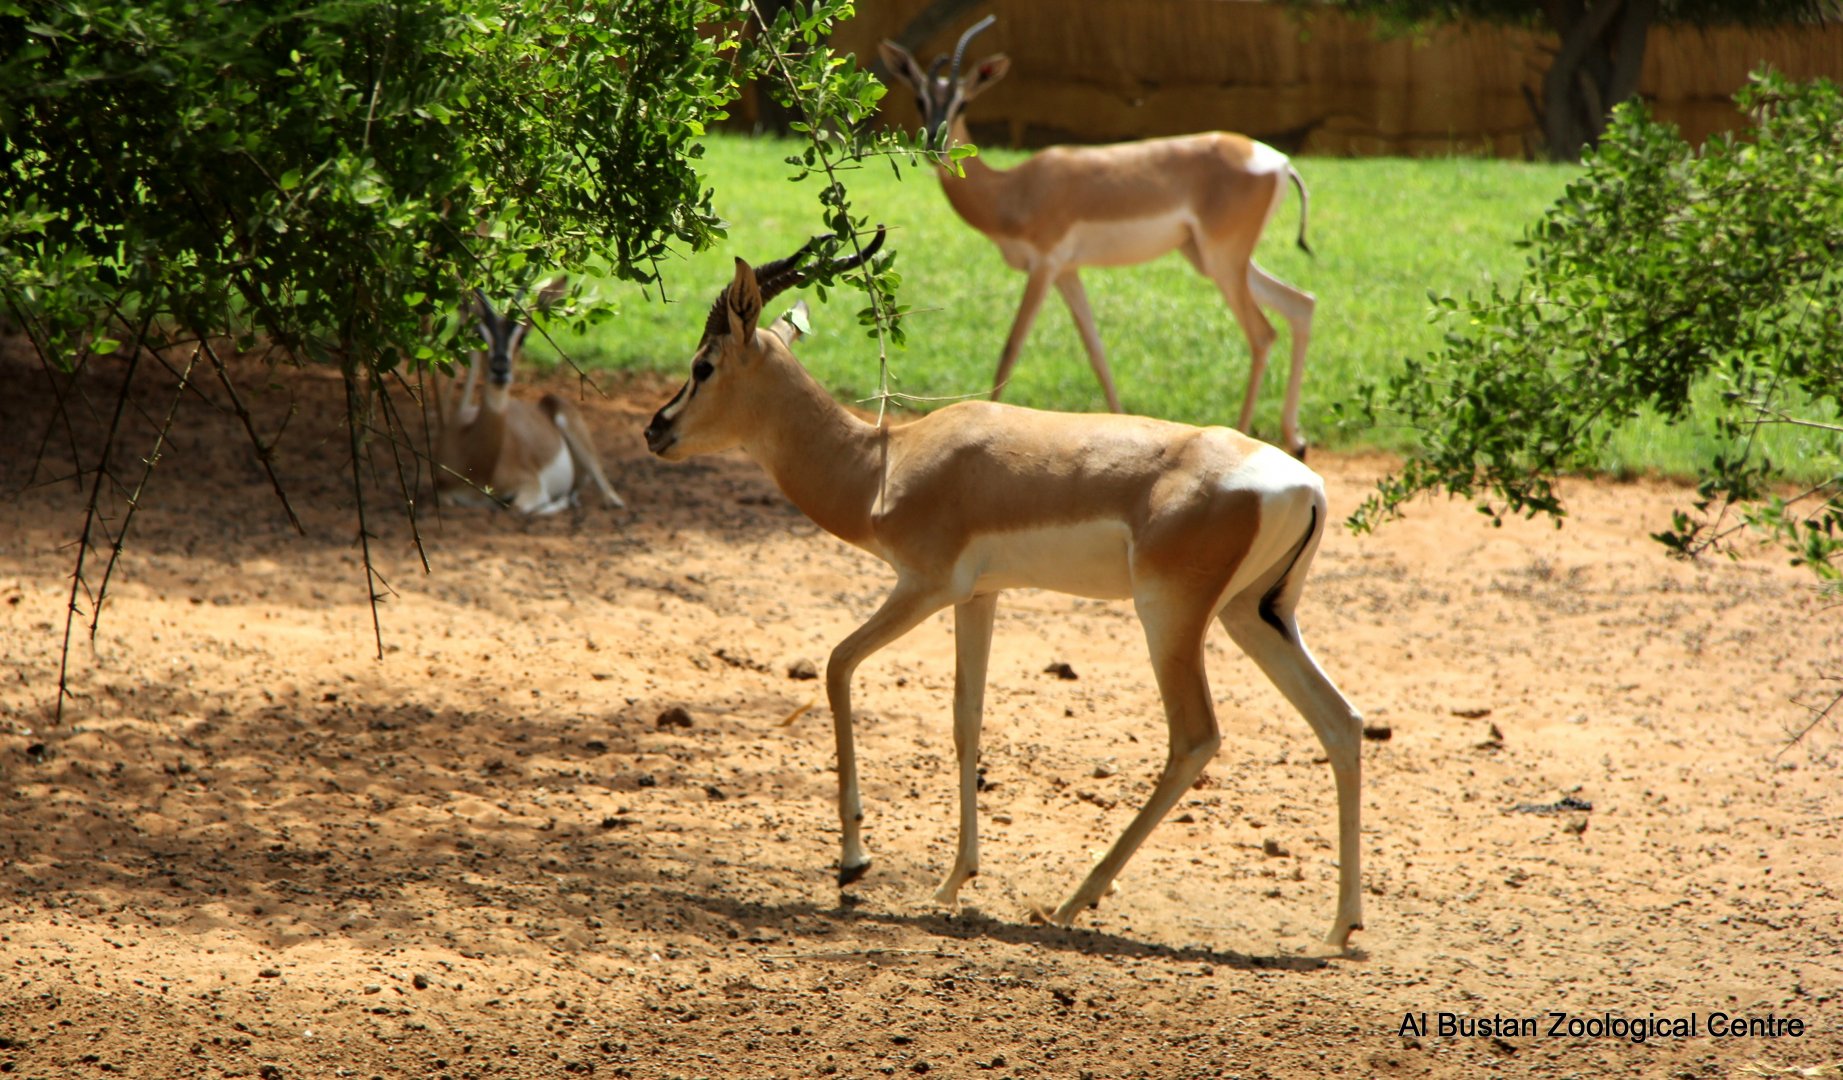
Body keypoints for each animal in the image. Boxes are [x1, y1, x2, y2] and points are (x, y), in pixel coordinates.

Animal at [433, 278, 624, 514]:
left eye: (522, 338)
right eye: (479, 335)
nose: (500, 369)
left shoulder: (533, 486)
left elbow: (518, 507)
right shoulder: (442, 491)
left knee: (604, 491)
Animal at [642, 229, 1366, 946]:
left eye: (703, 365)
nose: (654, 429)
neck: (883, 465)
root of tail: (1305, 485)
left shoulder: (925, 586)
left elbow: (837, 664)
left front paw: (854, 861)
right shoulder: (978, 597)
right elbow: (967, 718)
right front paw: (952, 880)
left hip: (1170, 617)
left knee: (1194, 737)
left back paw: (1073, 902)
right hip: (1256, 615)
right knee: (1341, 721)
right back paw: (1339, 928)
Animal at [879, 17, 1318, 457]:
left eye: (963, 103)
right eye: (920, 99)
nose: (933, 144)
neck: (1014, 190)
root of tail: (1280, 161)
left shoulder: (1044, 266)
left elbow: (1011, 347)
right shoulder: (1068, 272)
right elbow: (1096, 352)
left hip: (1222, 260)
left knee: (1262, 333)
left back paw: (1243, 435)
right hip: (1209, 257)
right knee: (1301, 304)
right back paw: (1295, 439)